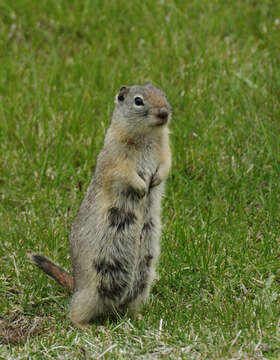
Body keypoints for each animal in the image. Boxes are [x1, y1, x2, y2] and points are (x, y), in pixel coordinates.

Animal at [30, 83, 171, 326]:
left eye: (163, 94)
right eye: (138, 101)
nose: (165, 112)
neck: (147, 136)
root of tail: (75, 285)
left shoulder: (165, 149)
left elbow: (166, 164)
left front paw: (155, 180)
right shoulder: (114, 154)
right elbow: (122, 172)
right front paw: (142, 188)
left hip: (143, 282)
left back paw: (138, 316)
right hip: (92, 291)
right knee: (74, 311)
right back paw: (84, 326)